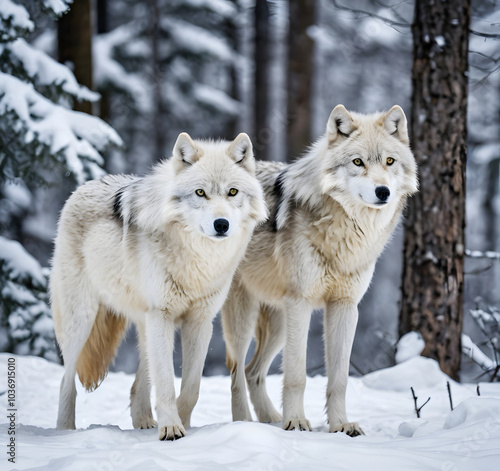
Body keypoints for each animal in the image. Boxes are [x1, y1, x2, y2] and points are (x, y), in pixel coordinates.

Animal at [51, 133, 268, 442]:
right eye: (200, 193)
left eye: (233, 192)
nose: (221, 224)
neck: (198, 262)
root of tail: (85, 185)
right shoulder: (162, 315)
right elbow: (166, 382)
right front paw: (171, 428)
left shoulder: (199, 321)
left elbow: (190, 388)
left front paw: (181, 422)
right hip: (82, 320)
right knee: (65, 379)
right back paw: (65, 430)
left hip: (145, 324)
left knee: (139, 381)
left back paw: (143, 421)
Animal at [223, 105, 418, 436]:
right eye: (358, 162)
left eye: (390, 161)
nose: (383, 192)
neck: (346, 232)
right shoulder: (300, 305)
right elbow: (296, 375)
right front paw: (296, 422)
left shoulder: (345, 306)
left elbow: (339, 379)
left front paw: (341, 425)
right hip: (245, 318)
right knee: (236, 372)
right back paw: (244, 424)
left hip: (278, 323)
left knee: (252, 371)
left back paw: (270, 419)